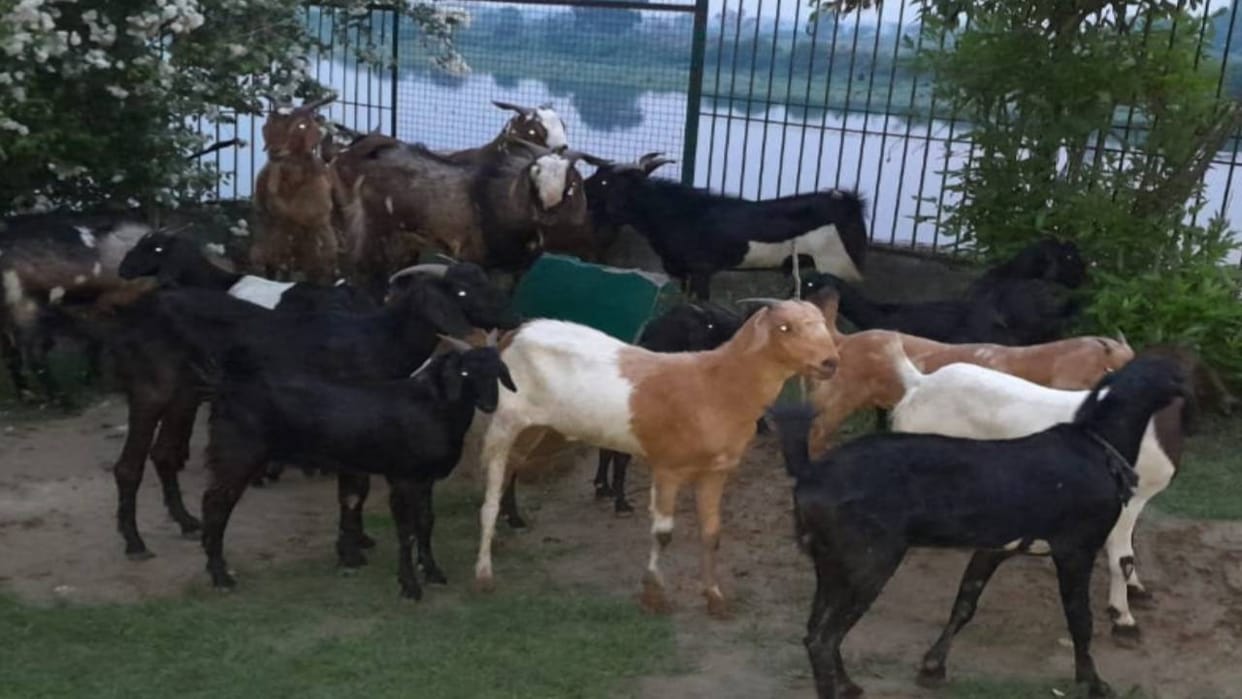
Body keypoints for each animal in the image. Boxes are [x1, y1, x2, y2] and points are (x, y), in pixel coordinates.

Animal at [108, 262, 519, 560]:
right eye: (461, 291)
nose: (510, 318)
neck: (377, 341)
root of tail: (135, 314)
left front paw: (359, 539)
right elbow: (355, 485)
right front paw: (350, 547)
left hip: (185, 393)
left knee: (164, 454)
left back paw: (186, 521)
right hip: (151, 389)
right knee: (129, 465)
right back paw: (135, 543)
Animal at [200, 345, 516, 599]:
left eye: (497, 373)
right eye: (465, 373)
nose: (490, 404)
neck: (434, 408)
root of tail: (227, 387)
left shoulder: (425, 479)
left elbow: (426, 523)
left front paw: (433, 572)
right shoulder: (402, 478)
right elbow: (406, 531)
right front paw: (409, 586)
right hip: (236, 457)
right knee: (215, 508)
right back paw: (221, 576)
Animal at [472, 293, 842, 617]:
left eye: (822, 324)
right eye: (785, 328)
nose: (830, 363)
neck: (717, 385)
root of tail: (515, 334)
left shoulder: (716, 471)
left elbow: (712, 533)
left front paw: (715, 598)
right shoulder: (668, 467)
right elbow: (663, 534)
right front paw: (654, 595)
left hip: (539, 428)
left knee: (512, 469)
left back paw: (507, 527)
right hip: (504, 420)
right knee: (489, 495)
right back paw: (484, 573)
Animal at [583, 153, 868, 299]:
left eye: (605, 182)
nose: (582, 187)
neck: (676, 214)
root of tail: (850, 202)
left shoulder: (701, 270)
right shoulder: (683, 271)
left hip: (839, 265)